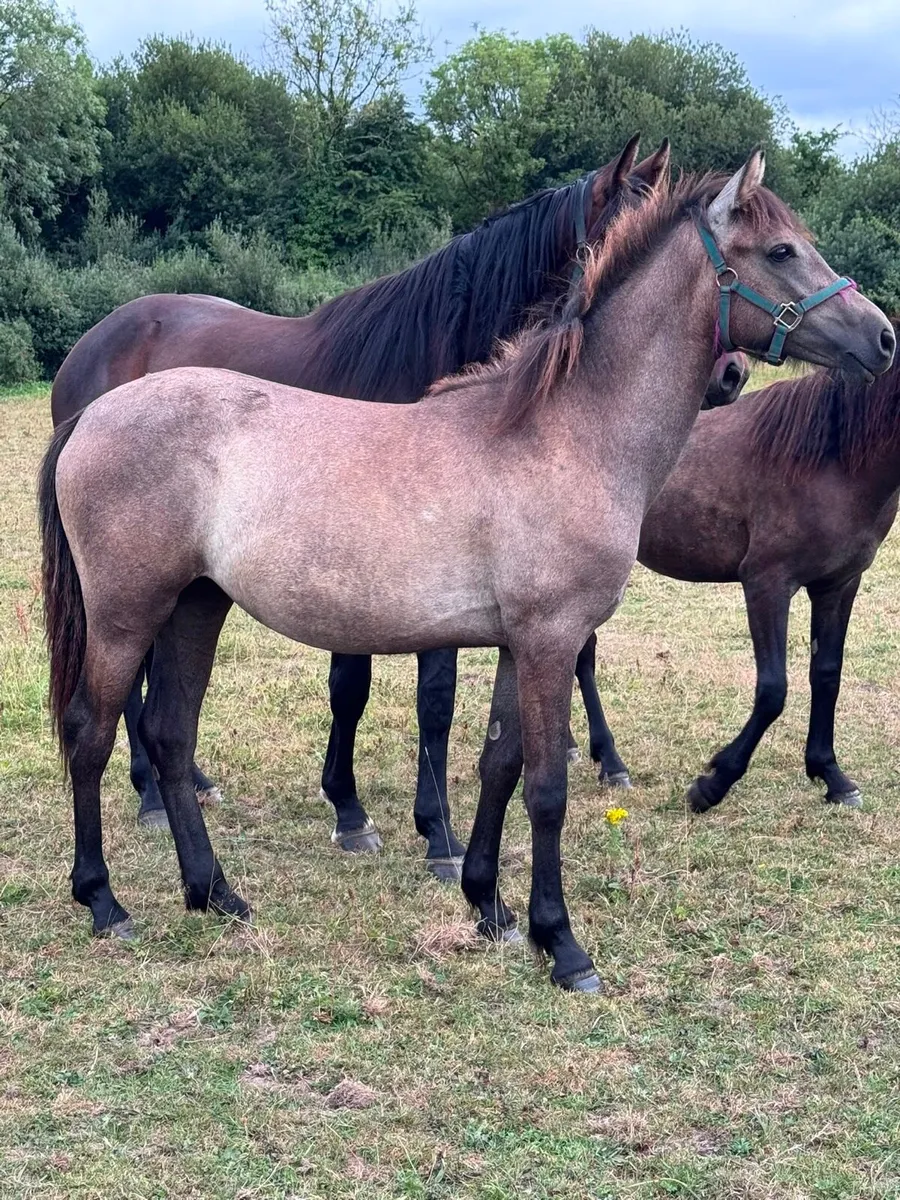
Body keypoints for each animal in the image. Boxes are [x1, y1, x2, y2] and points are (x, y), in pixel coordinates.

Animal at [50, 137, 692, 879]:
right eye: (608, 240)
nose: (730, 377)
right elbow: (378, 691)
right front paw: (392, 820)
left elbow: (522, 671)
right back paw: (151, 798)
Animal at [573, 323, 900, 811]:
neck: (834, 458)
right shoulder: (767, 583)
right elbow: (772, 690)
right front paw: (713, 784)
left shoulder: (839, 585)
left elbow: (826, 675)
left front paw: (831, 774)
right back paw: (608, 761)